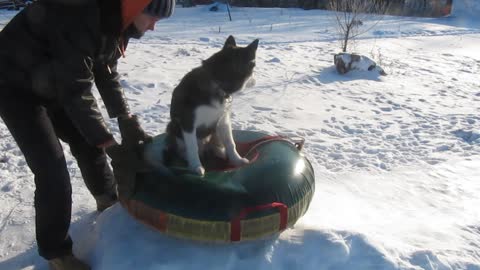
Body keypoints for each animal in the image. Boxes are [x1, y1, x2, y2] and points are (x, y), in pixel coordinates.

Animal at [167, 35, 260, 175]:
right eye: (253, 67)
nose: (255, 80)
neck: (217, 83)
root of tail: (205, 147)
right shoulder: (188, 122)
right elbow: (192, 147)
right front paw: (196, 166)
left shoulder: (223, 120)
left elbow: (230, 143)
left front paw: (237, 160)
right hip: (172, 127)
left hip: (214, 132)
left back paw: (220, 151)